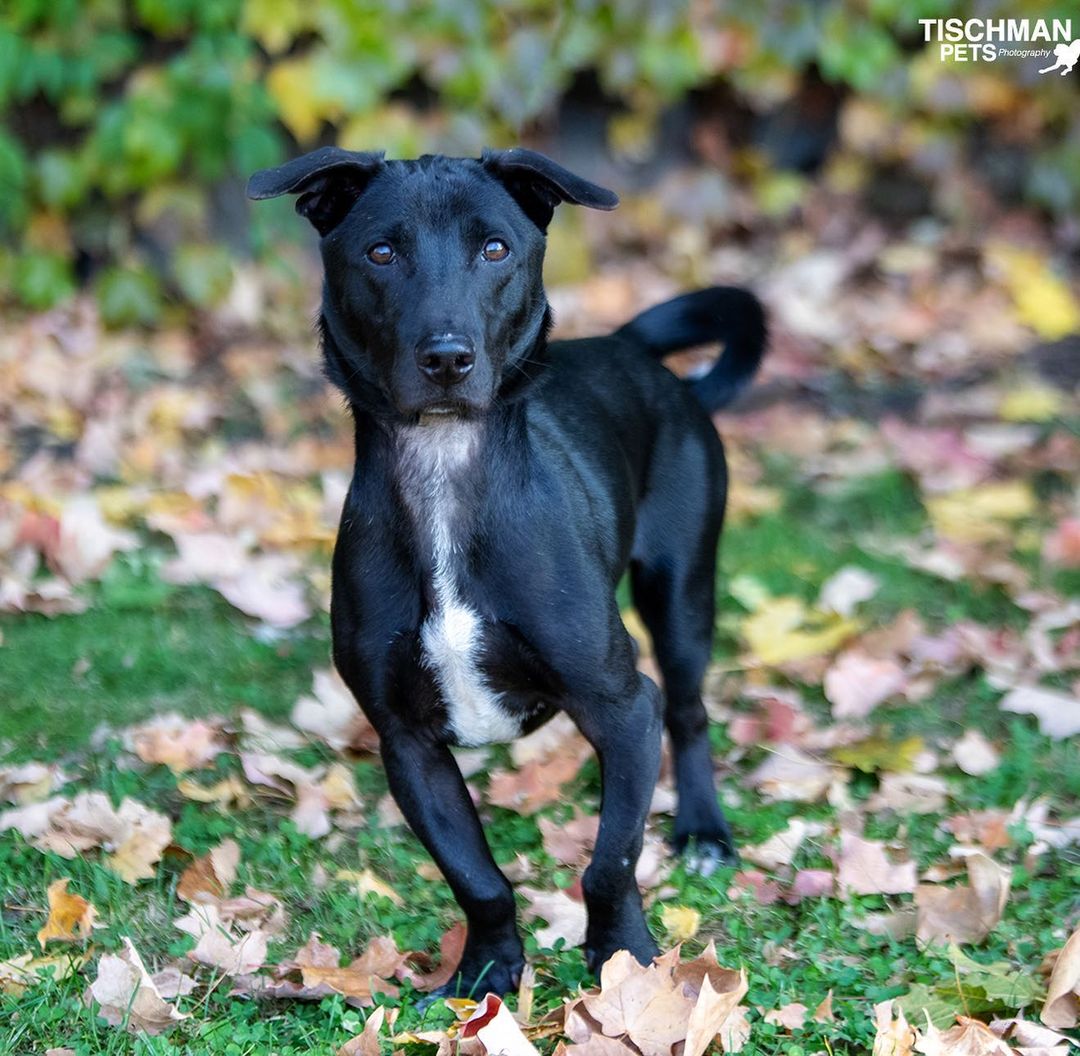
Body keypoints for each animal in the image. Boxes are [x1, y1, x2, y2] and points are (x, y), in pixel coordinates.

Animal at [248, 143, 764, 993]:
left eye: (495, 248)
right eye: (380, 252)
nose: (447, 358)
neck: (445, 474)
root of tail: (631, 348)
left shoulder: (623, 706)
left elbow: (610, 863)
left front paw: (625, 961)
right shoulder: (407, 743)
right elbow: (477, 879)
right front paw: (488, 976)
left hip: (682, 593)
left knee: (689, 714)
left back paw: (703, 832)